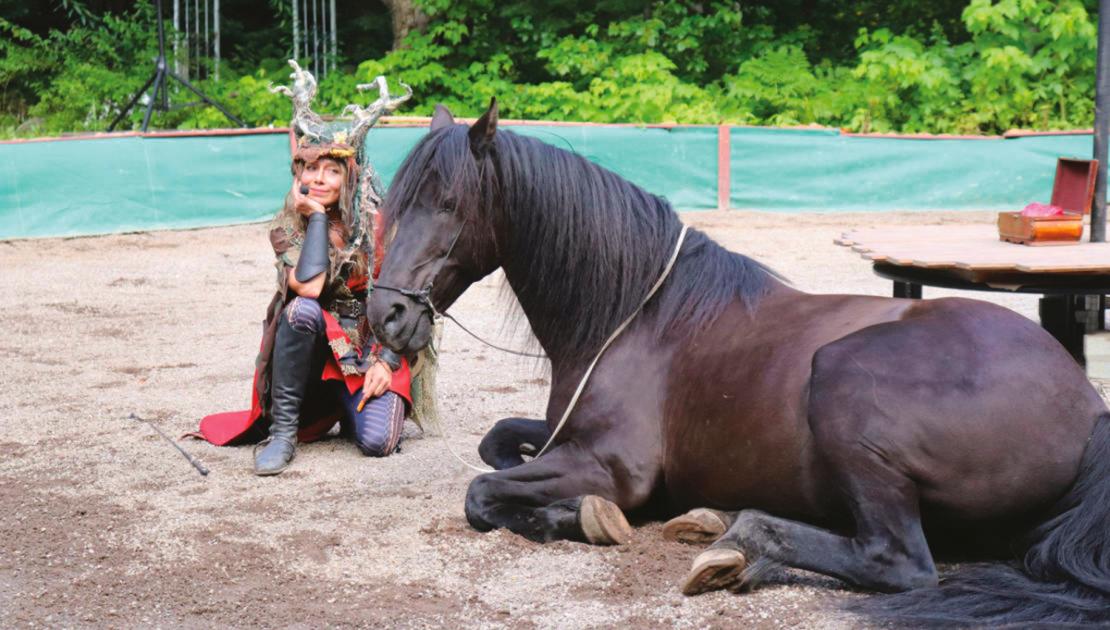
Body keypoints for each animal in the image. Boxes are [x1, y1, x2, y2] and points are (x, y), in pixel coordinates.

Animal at [370, 100, 1110, 625]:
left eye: (447, 204)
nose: (386, 315)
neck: (638, 315)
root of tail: (1087, 407)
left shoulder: (611, 466)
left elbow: (482, 492)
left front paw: (583, 517)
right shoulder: (558, 433)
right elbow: (495, 444)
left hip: (841, 378)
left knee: (897, 562)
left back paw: (739, 541)